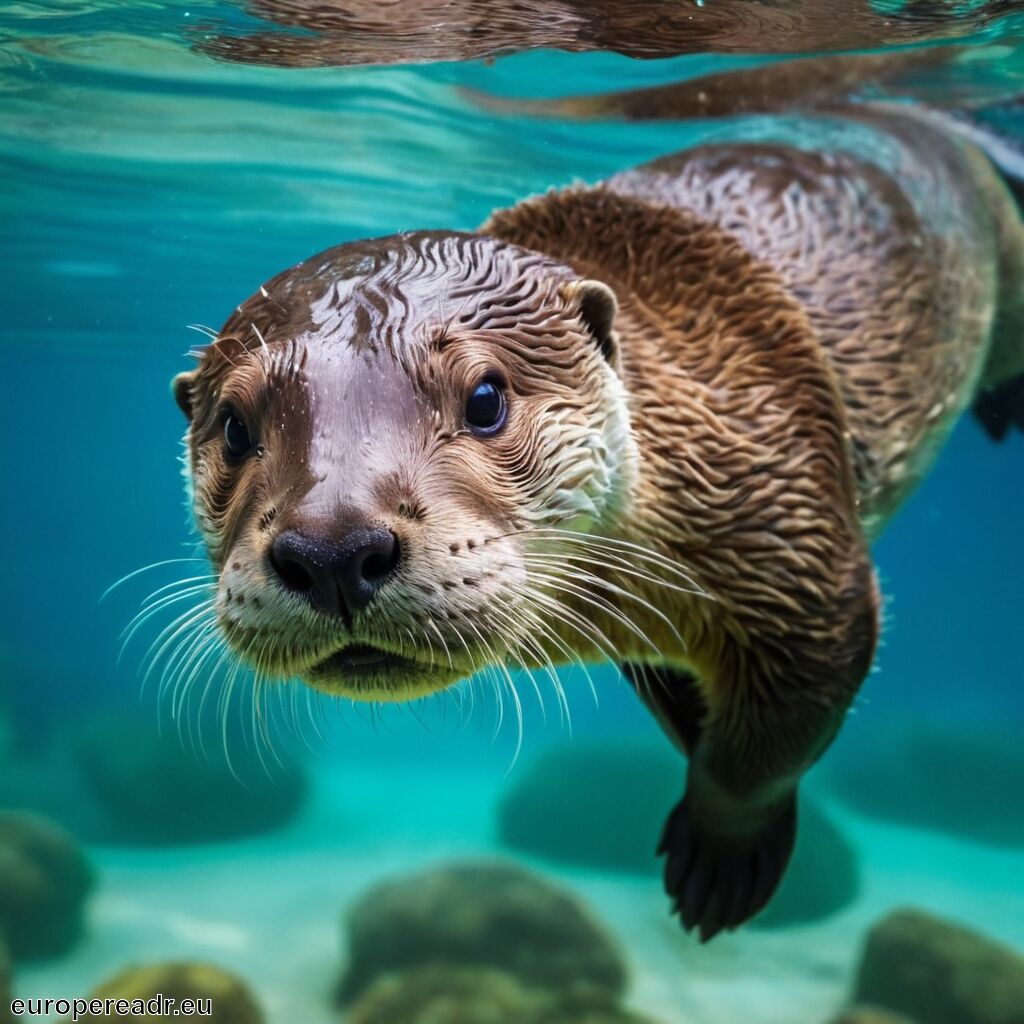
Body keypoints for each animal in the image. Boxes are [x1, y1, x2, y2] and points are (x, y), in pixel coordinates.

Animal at [172, 102, 1024, 941]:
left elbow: (768, 746)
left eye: (486, 399)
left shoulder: (800, 547)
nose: (335, 549)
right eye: (235, 429)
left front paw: (724, 854)